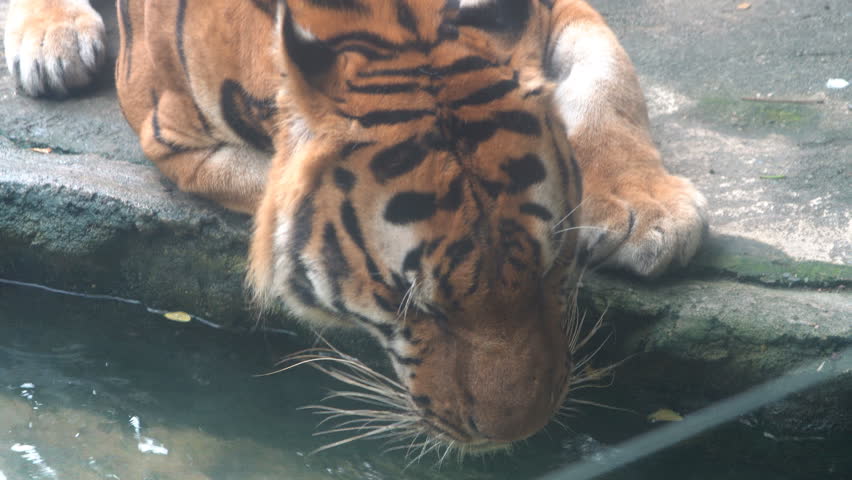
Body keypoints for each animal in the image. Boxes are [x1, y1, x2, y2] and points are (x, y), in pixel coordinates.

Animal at [4, 0, 707, 451]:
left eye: (555, 267)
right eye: (415, 304)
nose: (520, 433)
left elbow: (609, 79)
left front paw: (647, 210)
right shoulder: (178, 138)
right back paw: (52, 41)